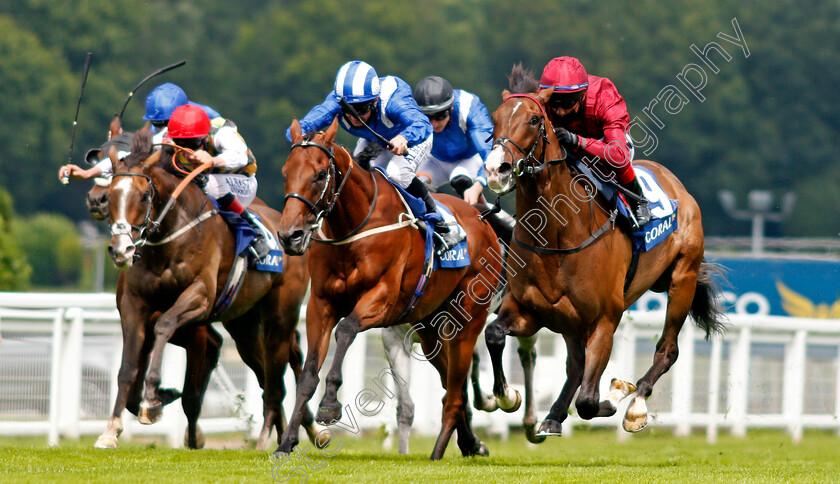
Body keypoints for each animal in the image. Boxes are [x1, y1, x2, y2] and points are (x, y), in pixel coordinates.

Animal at [96, 129, 318, 450]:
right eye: (111, 196)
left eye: (145, 195)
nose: (121, 249)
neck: (169, 238)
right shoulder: (134, 305)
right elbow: (127, 369)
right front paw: (111, 430)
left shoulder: (199, 298)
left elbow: (165, 325)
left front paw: (152, 401)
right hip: (244, 325)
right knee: (267, 374)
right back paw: (287, 432)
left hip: (280, 315)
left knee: (285, 364)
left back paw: (306, 431)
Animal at [276, 118, 502, 462]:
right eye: (286, 171)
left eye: (319, 174)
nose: (290, 236)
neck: (354, 227)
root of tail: (483, 220)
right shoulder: (320, 305)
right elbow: (307, 374)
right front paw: (286, 443)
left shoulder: (382, 299)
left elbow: (346, 329)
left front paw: (329, 405)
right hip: (430, 329)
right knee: (453, 385)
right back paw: (470, 442)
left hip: (468, 320)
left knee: (455, 388)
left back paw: (440, 451)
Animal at [482, 66, 724, 436]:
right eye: (495, 119)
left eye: (535, 119)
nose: (497, 169)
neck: (556, 237)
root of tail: (677, 185)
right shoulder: (528, 311)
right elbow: (494, 334)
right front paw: (507, 395)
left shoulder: (605, 320)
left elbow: (589, 401)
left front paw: (616, 394)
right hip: (569, 323)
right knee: (575, 365)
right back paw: (553, 416)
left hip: (682, 278)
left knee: (667, 350)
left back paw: (636, 405)